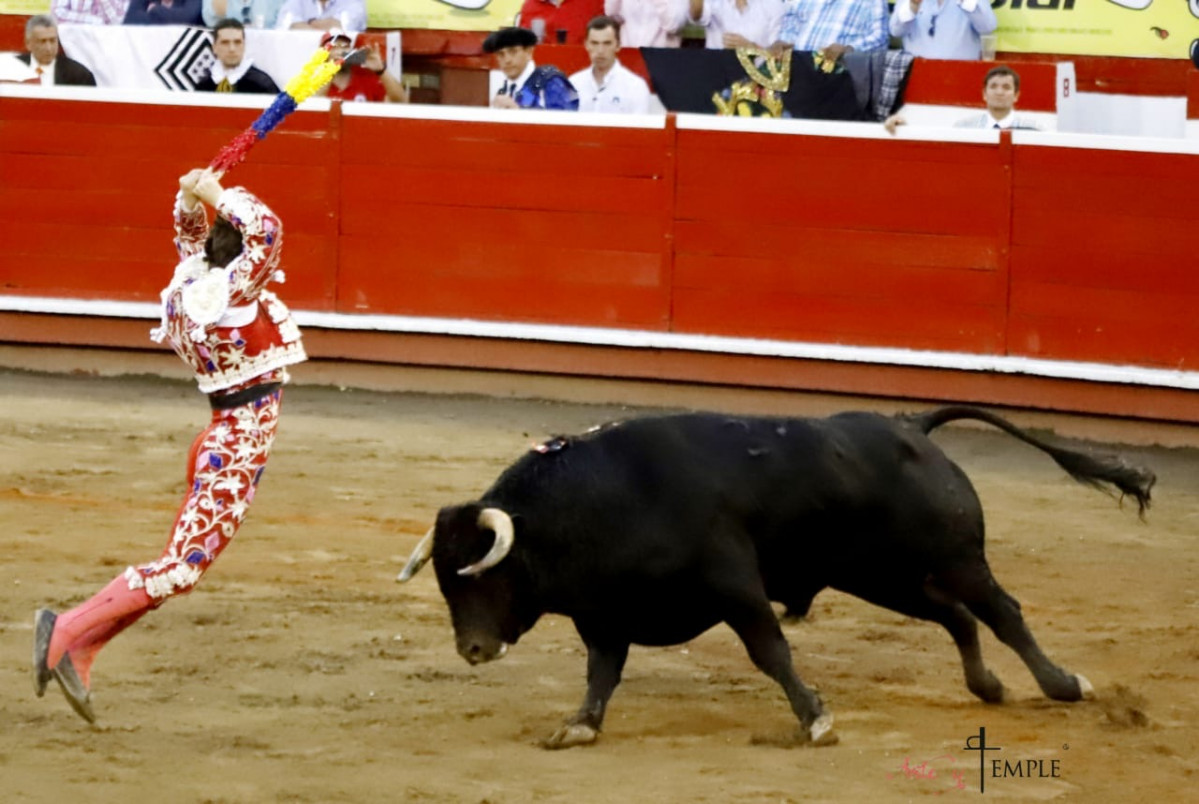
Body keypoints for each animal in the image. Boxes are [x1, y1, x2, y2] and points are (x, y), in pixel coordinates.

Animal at [398, 409, 1155, 747]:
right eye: (445, 582)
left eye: (478, 575)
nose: (471, 649)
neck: (602, 499)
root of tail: (912, 427)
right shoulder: (606, 615)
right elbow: (601, 673)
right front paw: (579, 726)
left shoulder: (733, 584)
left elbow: (770, 651)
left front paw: (815, 718)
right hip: (882, 576)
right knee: (957, 617)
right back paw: (988, 687)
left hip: (954, 558)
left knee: (1001, 611)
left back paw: (1062, 685)